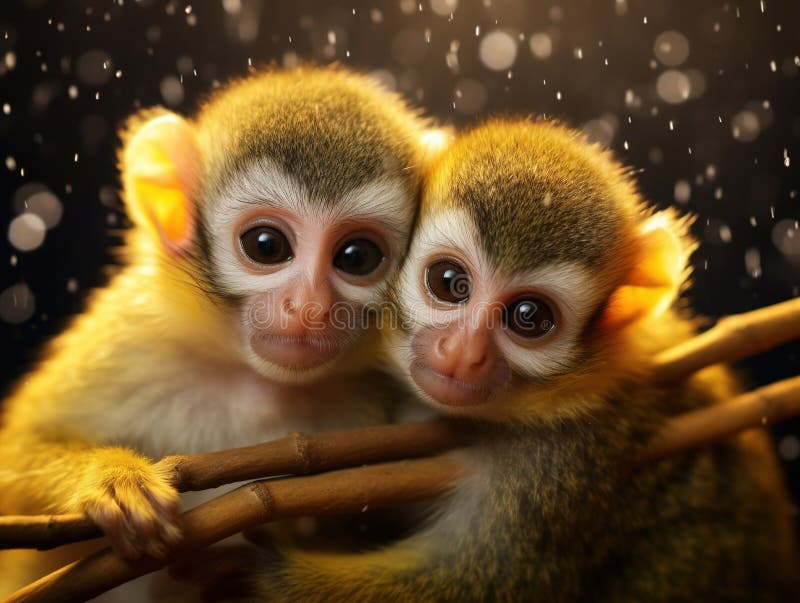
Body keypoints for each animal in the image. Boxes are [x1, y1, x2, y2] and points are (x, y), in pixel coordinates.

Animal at [0, 65, 439, 597]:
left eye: (357, 257)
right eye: (267, 246)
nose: (310, 308)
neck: (255, 385)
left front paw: (259, 575)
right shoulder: (129, 340)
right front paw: (110, 477)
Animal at [173, 118, 800, 602]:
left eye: (528, 317)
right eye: (450, 283)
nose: (461, 352)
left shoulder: (571, 454)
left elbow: (487, 582)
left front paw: (264, 578)